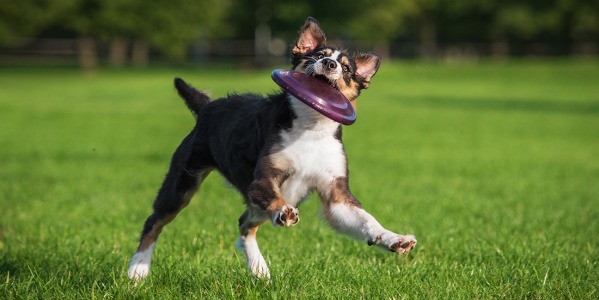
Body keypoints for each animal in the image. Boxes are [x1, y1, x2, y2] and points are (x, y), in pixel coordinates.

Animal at [127, 17, 418, 282]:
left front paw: (396, 239)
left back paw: (259, 269)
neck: (312, 127)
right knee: (154, 221)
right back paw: (138, 269)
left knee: (244, 224)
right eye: (318, 56)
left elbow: (367, 220)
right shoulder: (263, 179)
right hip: (182, 183)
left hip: (268, 200)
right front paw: (284, 212)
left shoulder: (336, 194)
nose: (329, 64)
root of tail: (207, 107)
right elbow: (274, 199)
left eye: (347, 69)